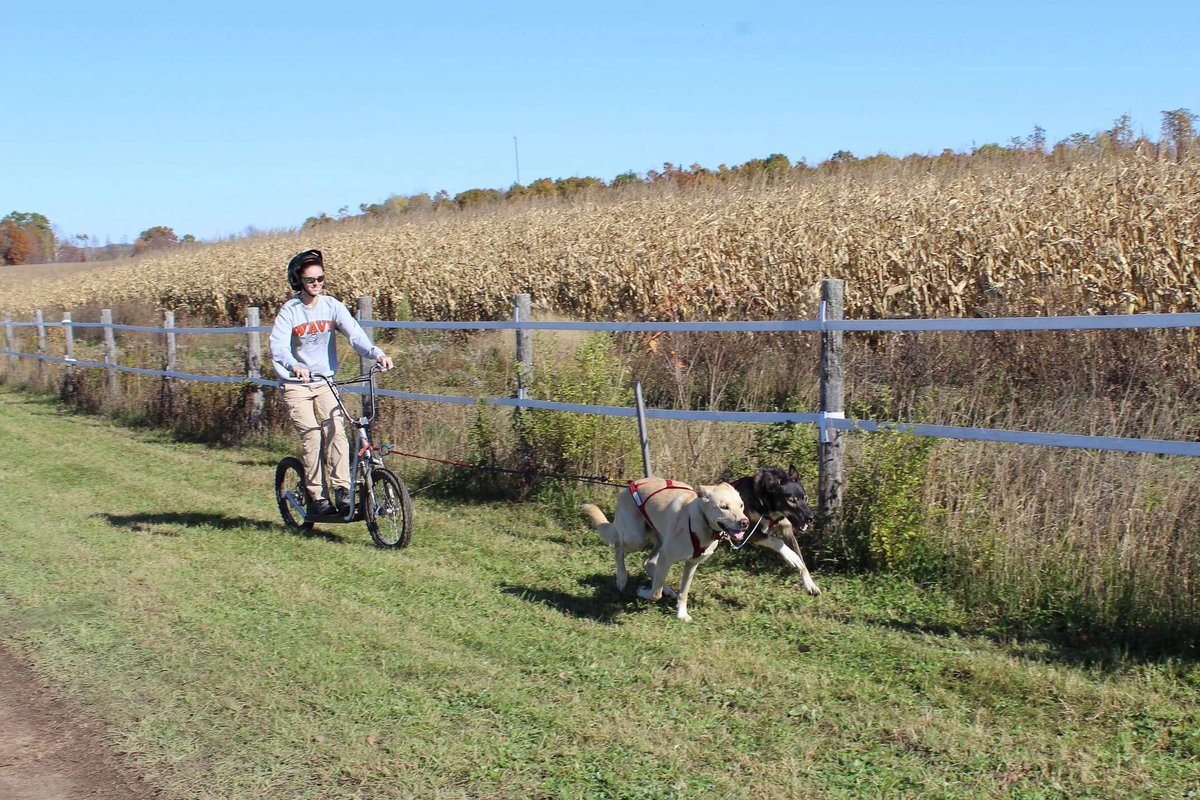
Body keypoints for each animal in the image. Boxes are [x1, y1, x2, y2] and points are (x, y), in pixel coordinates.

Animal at [724, 462, 820, 594]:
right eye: (791, 500)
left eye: (805, 497)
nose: (811, 518)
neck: (765, 503)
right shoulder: (746, 534)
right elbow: (777, 542)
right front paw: (791, 557)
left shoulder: (787, 530)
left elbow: (801, 561)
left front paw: (810, 584)